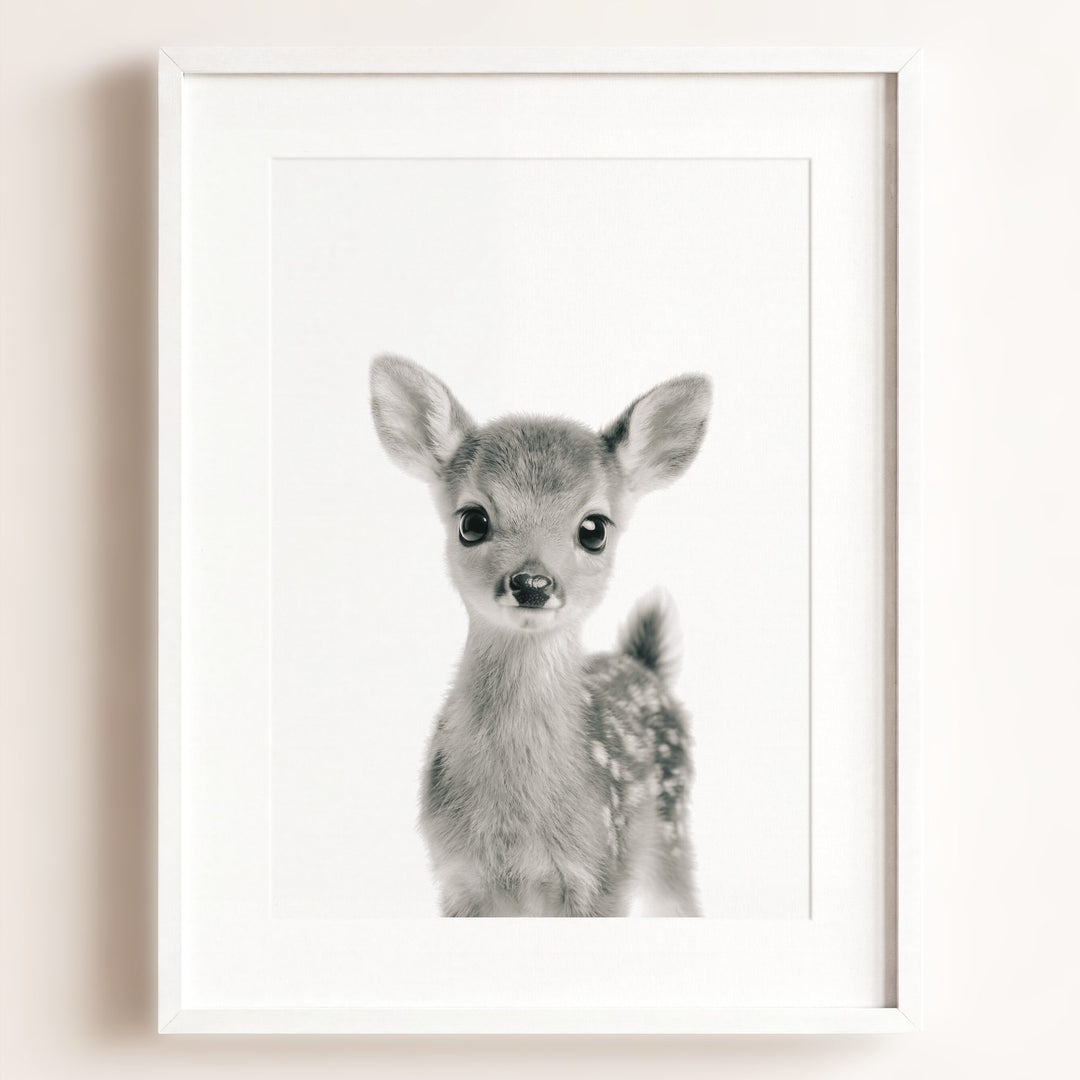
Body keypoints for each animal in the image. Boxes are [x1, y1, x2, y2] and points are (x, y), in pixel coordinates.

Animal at [370, 355, 712, 916]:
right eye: (472, 520)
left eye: (594, 529)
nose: (532, 583)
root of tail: (643, 664)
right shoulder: (457, 878)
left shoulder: (602, 872)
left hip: (672, 832)